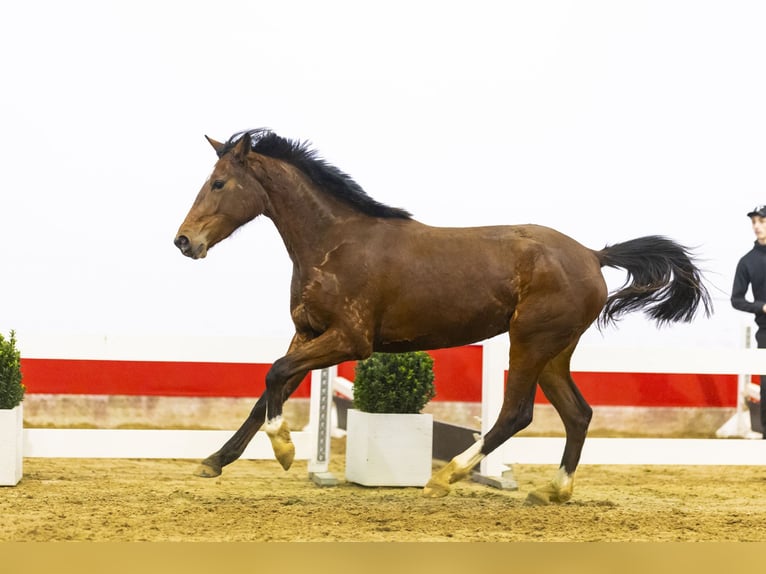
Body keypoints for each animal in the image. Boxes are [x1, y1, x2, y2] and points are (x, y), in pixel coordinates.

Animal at [174, 128, 712, 506]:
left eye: (219, 183)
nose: (184, 241)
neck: (334, 243)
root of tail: (593, 255)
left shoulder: (349, 338)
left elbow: (274, 374)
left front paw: (284, 449)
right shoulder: (306, 332)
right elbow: (268, 391)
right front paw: (213, 461)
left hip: (530, 341)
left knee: (516, 413)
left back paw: (445, 477)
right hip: (555, 351)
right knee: (578, 413)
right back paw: (553, 491)